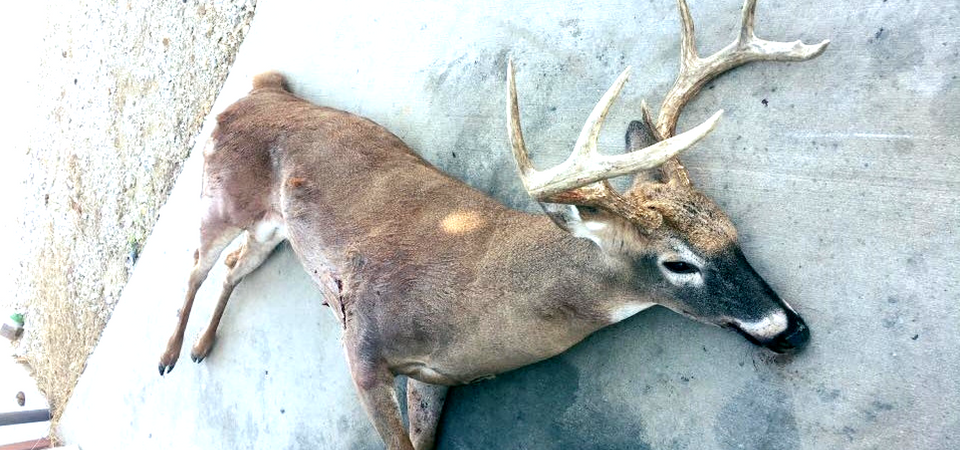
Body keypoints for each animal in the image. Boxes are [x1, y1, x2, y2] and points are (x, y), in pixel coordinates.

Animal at [157, 0, 828, 448]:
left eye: (733, 232)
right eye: (677, 263)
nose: (791, 329)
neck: (478, 296)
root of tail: (257, 87)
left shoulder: (434, 379)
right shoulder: (362, 345)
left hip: (275, 230)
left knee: (235, 264)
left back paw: (201, 347)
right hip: (220, 197)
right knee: (194, 262)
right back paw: (169, 356)